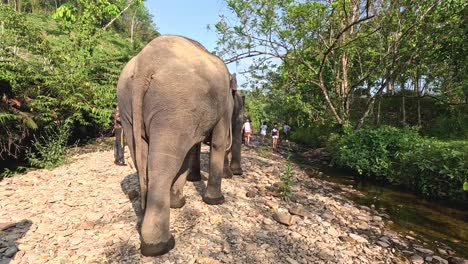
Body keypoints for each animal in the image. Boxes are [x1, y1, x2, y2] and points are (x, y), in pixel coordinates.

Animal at [115, 35, 239, 256]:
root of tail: (145, 62)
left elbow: (188, 152)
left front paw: (178, 203)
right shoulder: (224, 107)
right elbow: (217, 143)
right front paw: (216, 201)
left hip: (128, 104)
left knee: (141, 158)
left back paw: (145, 219)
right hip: (173, 106)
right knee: (161, 165)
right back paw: (159, 245)